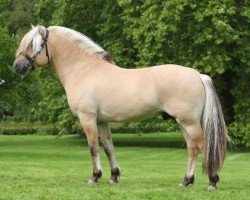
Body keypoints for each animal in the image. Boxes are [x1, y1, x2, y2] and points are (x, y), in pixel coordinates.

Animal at [13, 25, 229, 190]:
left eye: (33, 45)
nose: (17, 66)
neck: (84, 70)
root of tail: (198, 75)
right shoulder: (102, 121)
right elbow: (109, 148)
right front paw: (114, 176)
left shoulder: (87, 118)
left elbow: (93, 147)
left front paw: (94, 177)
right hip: (184, 123)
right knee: (193, 148)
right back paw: (186, 181)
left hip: (189, 122)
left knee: (203, 145)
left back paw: (212, 181)